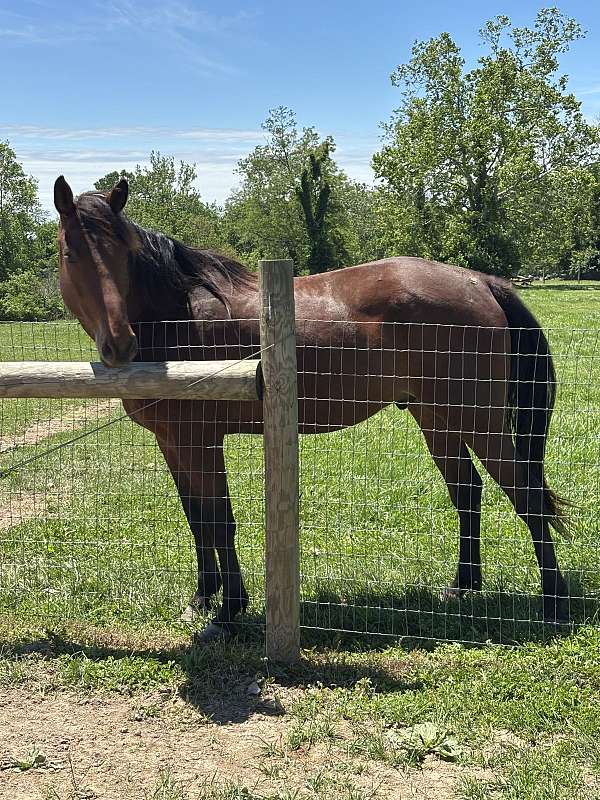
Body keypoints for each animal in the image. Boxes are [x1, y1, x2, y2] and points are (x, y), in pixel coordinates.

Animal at [53, 175, 569, 642]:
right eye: (71, 253)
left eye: (124, 253)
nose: (119, 344)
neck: (178, 319)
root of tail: (476, 280)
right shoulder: (172, 443)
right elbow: (196, 517)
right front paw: (203, 597)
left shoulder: (200, 440)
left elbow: (219, 519)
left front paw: (229, 612)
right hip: (437, 419)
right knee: (468, 493)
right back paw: (463, 588)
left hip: (479, 422)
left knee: (525, 497)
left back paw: (554, 606)